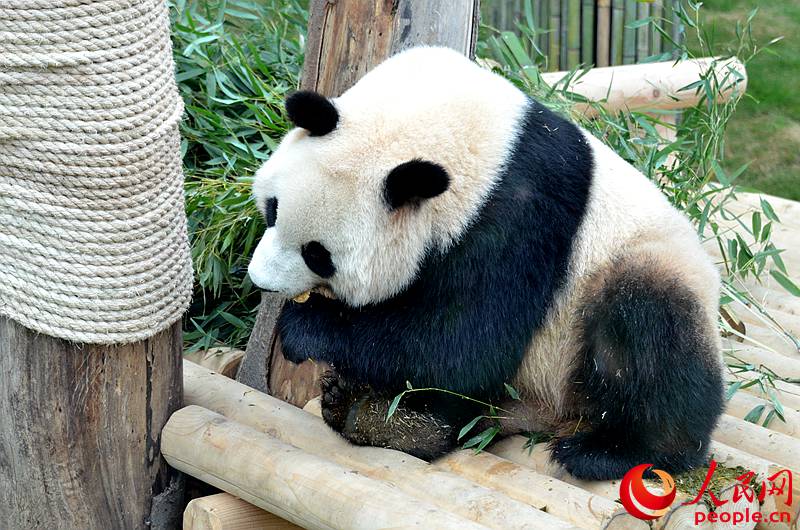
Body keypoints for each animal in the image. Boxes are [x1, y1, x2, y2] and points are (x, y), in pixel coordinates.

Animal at [245, 47, 724, 480]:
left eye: (318, 254)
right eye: (272, 209)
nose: (261, 281)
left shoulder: (518, 217)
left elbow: (466, 340)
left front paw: (305, 327)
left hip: (626, 280)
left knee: (649, 331)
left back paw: (614, 452)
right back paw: (377, 414)